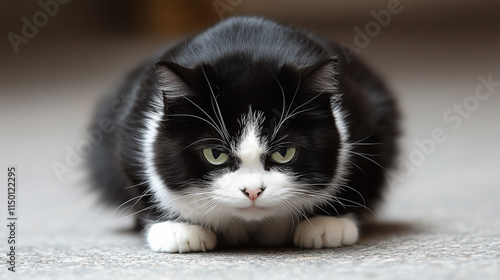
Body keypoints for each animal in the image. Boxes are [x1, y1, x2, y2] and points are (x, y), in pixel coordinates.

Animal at [89, 16, 398, 253]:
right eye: (215, 154)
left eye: (283, 153)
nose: (252, 191)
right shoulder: (129, 130)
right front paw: (177, 228)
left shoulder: (368, 118)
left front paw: (328, 222)